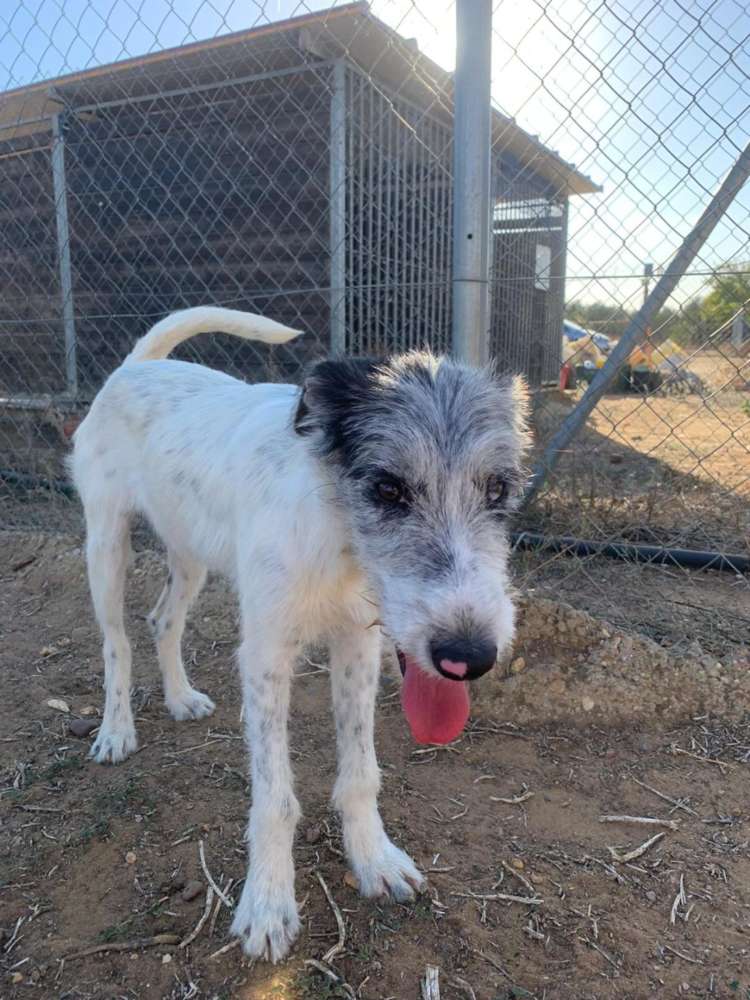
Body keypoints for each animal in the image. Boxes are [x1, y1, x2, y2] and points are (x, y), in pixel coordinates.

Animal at [71, 306, 528, 962]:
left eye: (498, 489)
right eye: (387, 488)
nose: (468, 655)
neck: (335, 531)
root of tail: (138, 366)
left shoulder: (357, 644)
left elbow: (360, 773)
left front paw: (374, 858)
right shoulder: (265, 656)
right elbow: (274, 800)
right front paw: (267, 902)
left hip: (191, 552)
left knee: (163, 619)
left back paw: (181, 697)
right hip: (106, 546)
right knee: (117, 642)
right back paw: (115, 730)